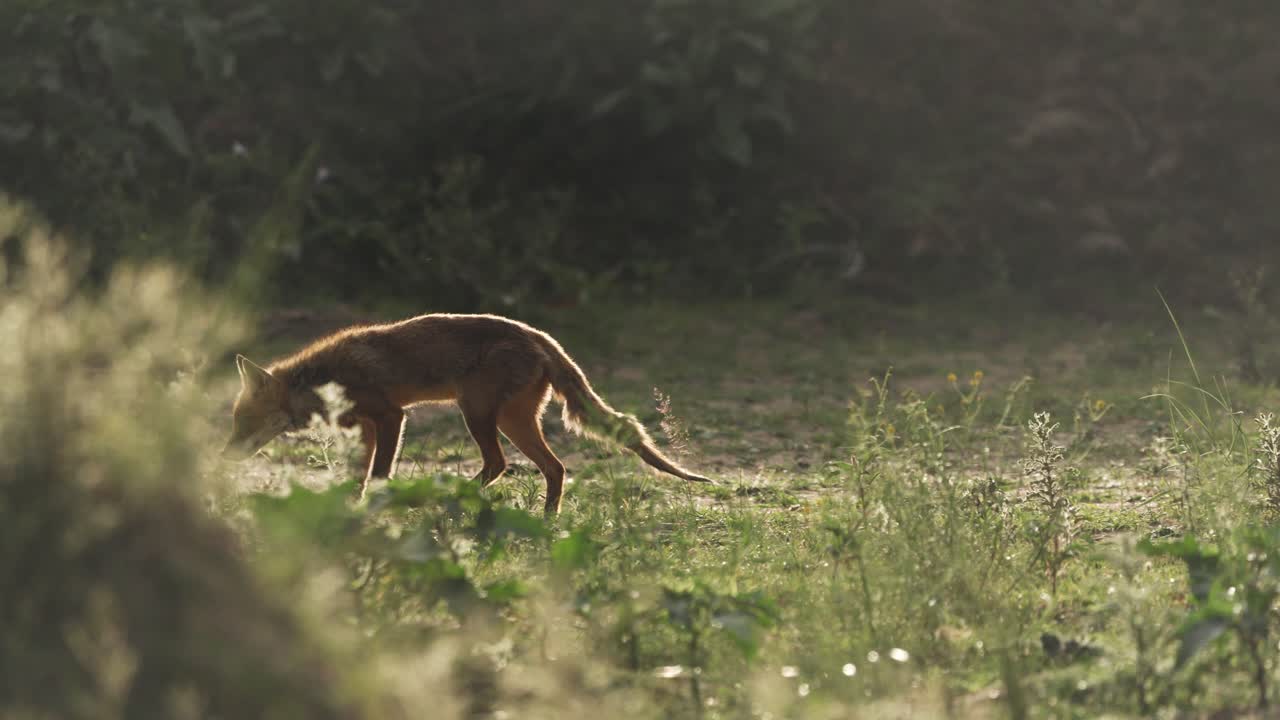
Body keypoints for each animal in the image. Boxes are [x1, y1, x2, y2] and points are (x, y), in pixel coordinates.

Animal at [222, 313, 713, 514]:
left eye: (243, 422)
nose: (224, 455)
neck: (325, 378)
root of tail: (539, 335)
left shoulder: (390, 416)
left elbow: (379, 476)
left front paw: (375, 509)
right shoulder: (365, 427)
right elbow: (358, 478)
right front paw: (350, 508)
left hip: (476, 413)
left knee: (500, 464)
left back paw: (454, 498)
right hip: (512, 421)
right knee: (553, 468)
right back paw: (547, 520)